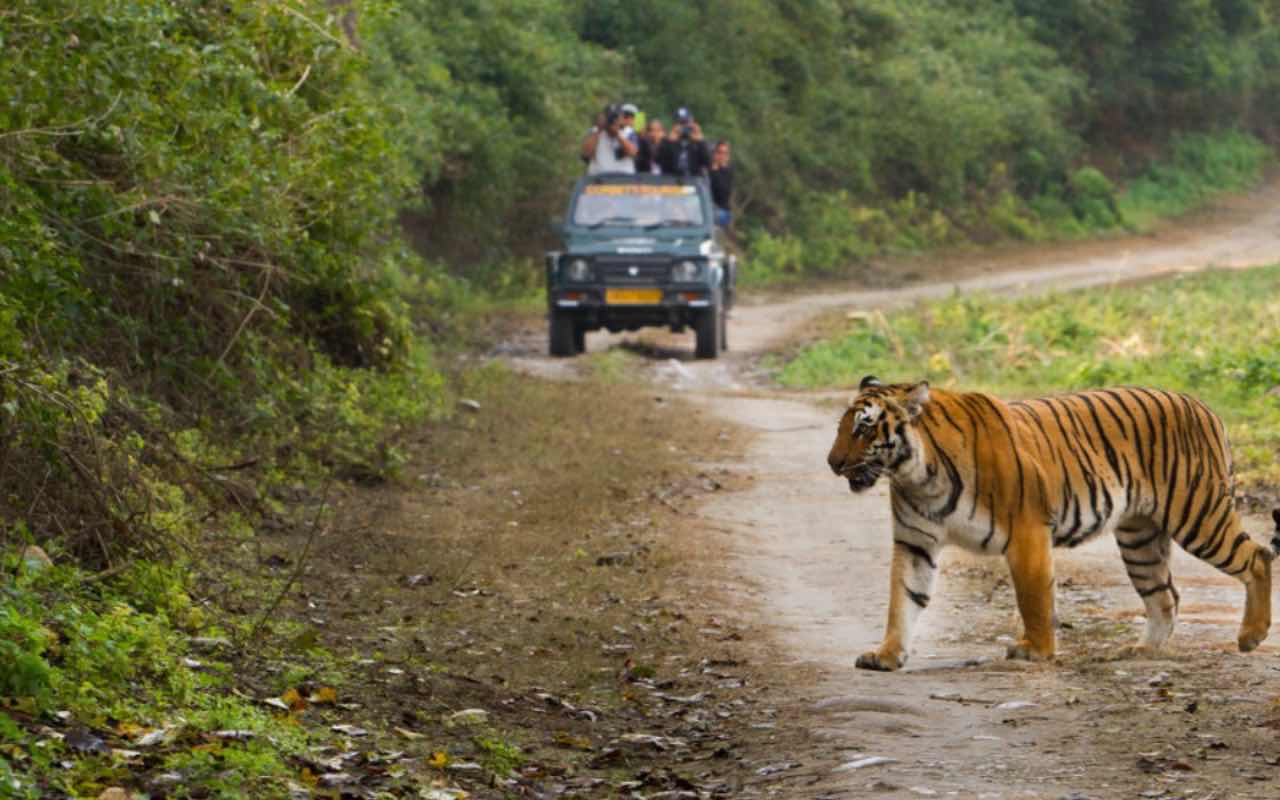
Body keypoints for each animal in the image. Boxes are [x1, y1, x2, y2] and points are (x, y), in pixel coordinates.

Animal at [826, 376, 1274, 671]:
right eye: (842, 427)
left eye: (864, 427)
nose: (832, 463)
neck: (917, 475)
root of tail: (1203, 406)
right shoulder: (915, 543)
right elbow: (902, 600)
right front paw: (886, 655)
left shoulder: (1027, 532)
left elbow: (1034, 598)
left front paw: (1036, 650)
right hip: (1140, 538)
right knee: (1166, 595)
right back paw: (1143, 650)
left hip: (1198, 515)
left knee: (1258, 557)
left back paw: (1251, 635)